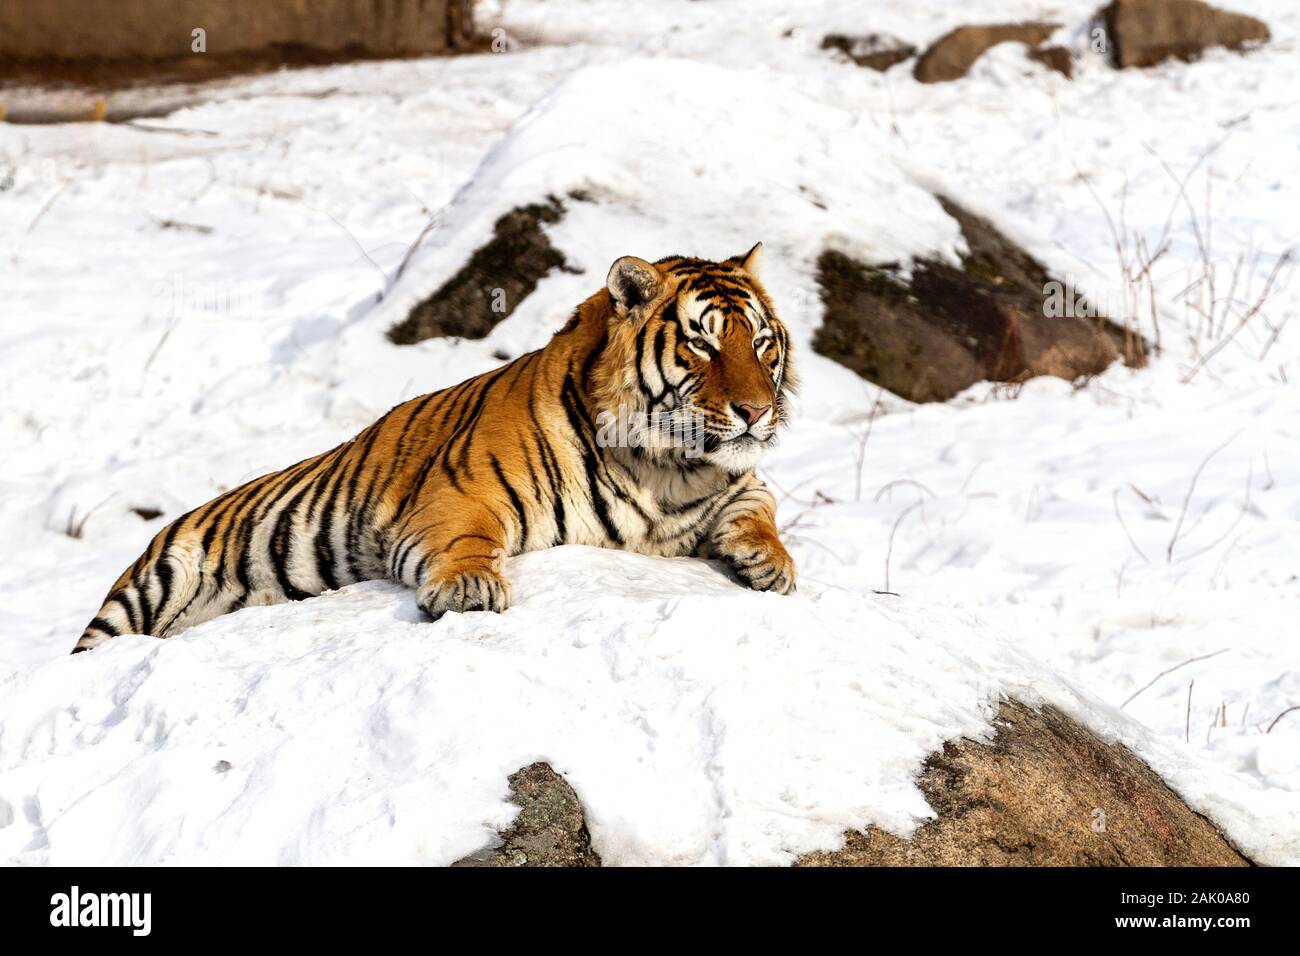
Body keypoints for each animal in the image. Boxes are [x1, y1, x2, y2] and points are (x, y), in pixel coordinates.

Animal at [78, 243, 800, 655]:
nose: (756, 411)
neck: (668, 470)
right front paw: (470, 588)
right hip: (151, 583)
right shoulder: (462, 489)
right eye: (702, 343)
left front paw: (773, 564)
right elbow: (466, 539)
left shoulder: (740, 483)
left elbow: (759, 509)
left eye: (762, 343)